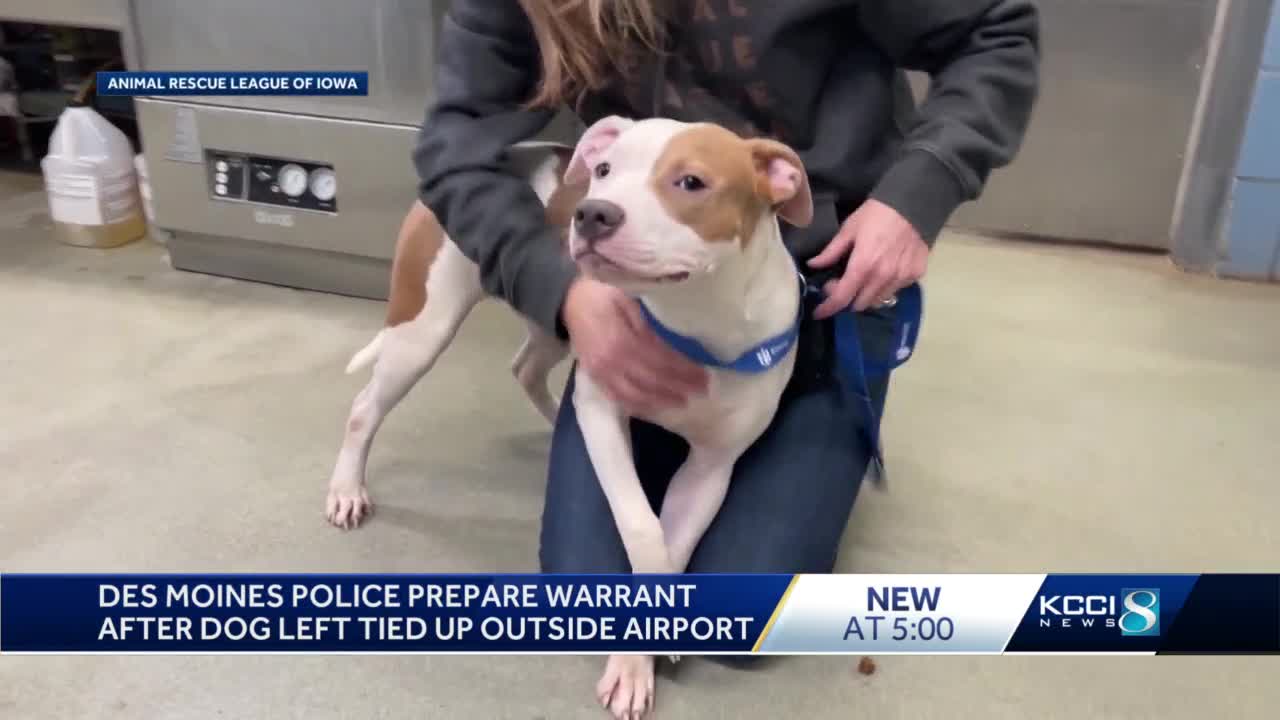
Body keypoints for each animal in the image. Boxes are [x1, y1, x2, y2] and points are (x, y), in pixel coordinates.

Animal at [327, 117, 808, 717]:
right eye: (603, 170)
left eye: (691, 182)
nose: (593, 212)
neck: (696, 324)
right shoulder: (605, 414)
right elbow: (642, 529)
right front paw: (635, 663)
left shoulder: (711, 468)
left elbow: (672, 544)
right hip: (425, 329)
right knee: (364, 408)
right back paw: (347, 488)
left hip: (554, 322)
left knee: (526, 368)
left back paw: (556, 414)